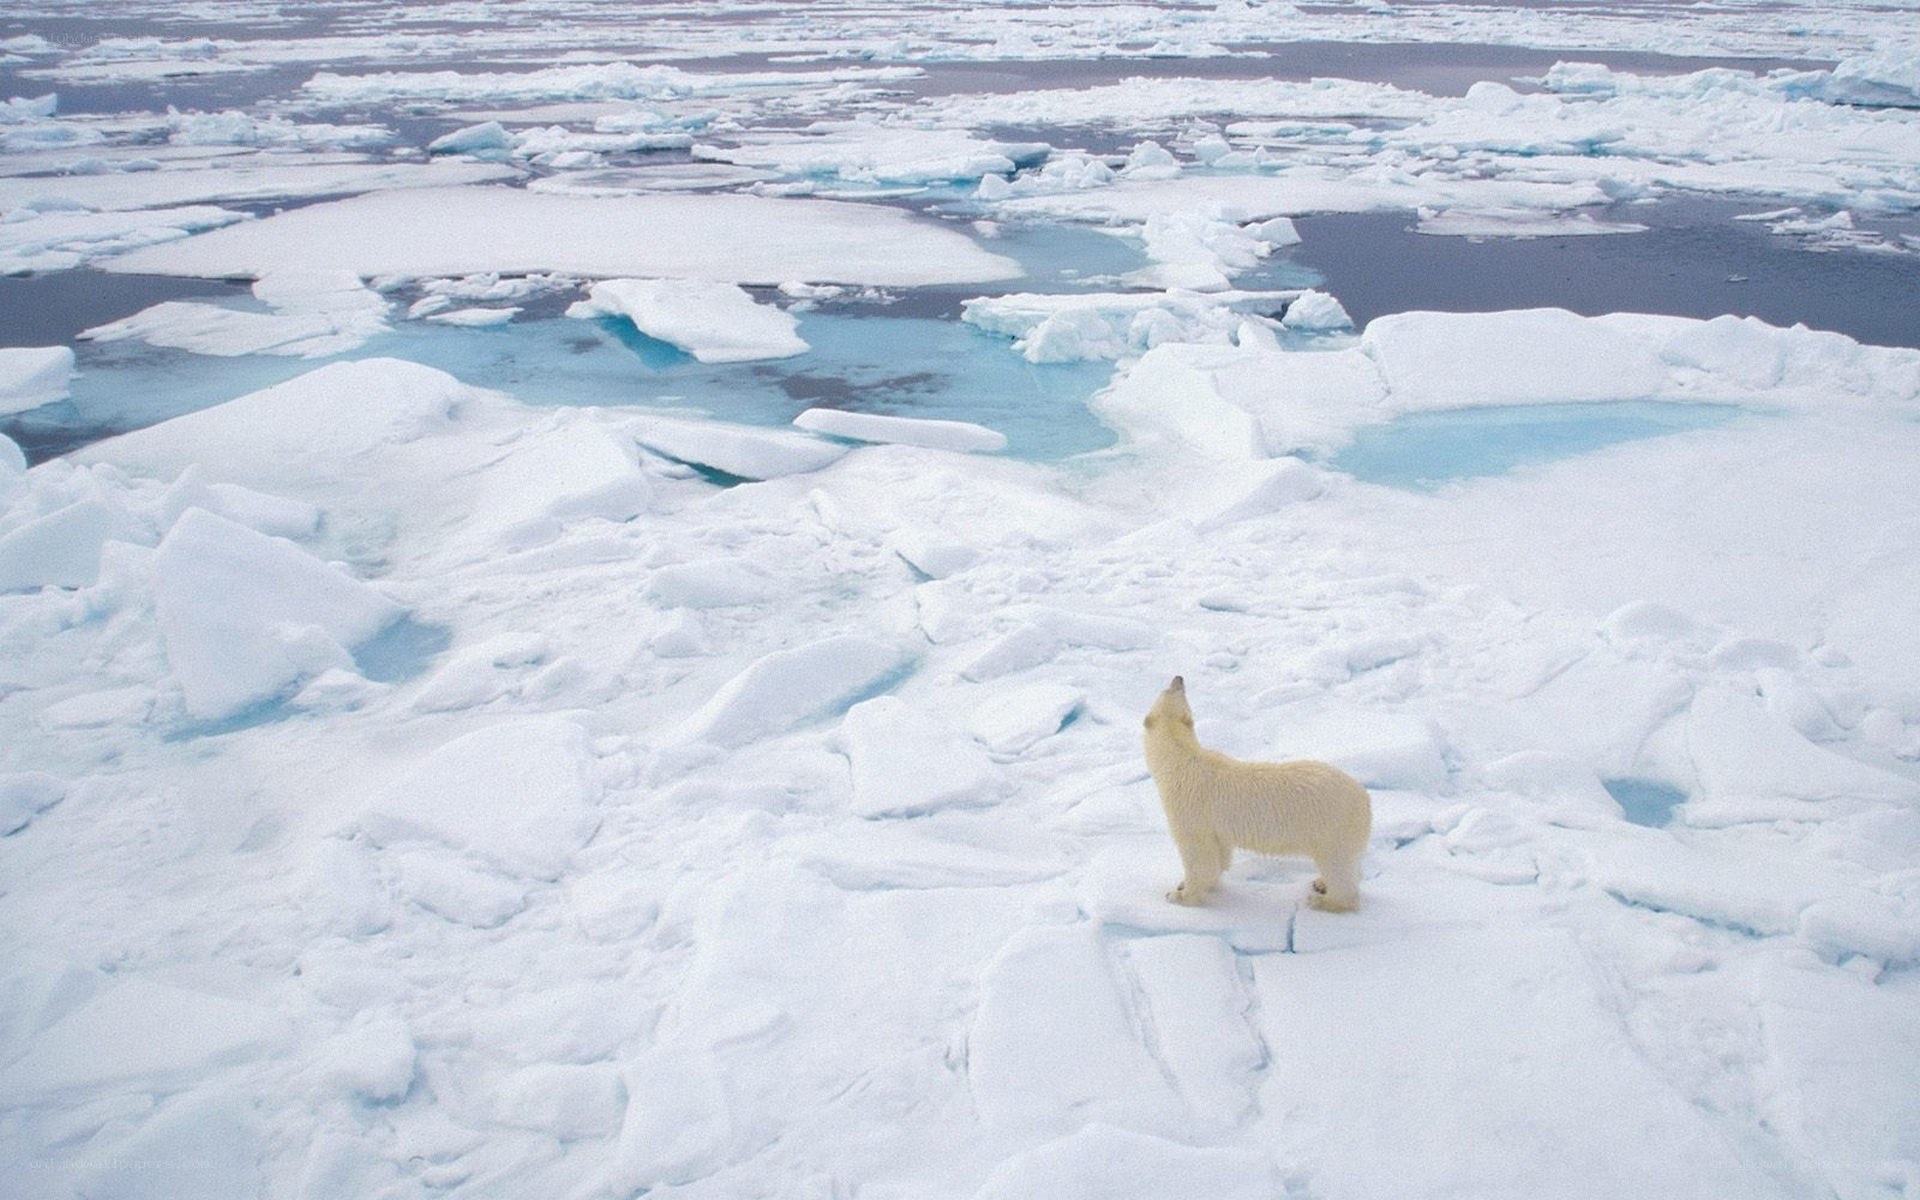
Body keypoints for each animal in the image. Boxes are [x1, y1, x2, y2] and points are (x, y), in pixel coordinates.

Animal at [1142, 675, 1372, 911]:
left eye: (1171, 690)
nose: (1179, 678)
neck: (1181, 761)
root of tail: (1364, 797)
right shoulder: (1217, 828)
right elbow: (1219, 854)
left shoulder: (1190, 810)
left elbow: (1200, 856)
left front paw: (1179, 895)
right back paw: (1321, 883)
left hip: (1332, 827)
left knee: (1337, 865)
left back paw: (1322, 899)